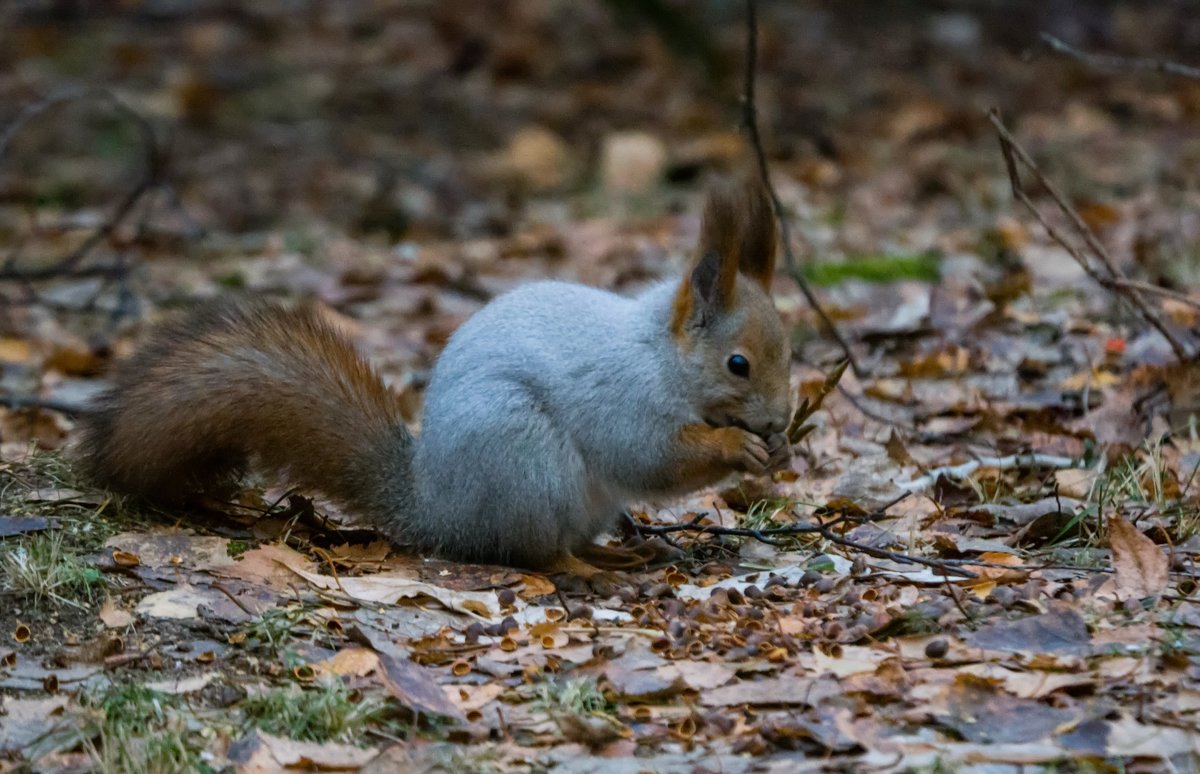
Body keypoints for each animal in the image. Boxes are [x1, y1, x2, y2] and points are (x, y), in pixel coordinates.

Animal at [79, 180, 801, 580]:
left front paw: (781, 449)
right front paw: (739, 447)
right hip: (524, 459)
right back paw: (588, 567)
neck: (659, 355)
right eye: (738, 363)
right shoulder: (624, 398)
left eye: (790, 352)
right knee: (534, 554)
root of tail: (437, 511)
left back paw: (612, 555)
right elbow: (648, 456)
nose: (777, 421)